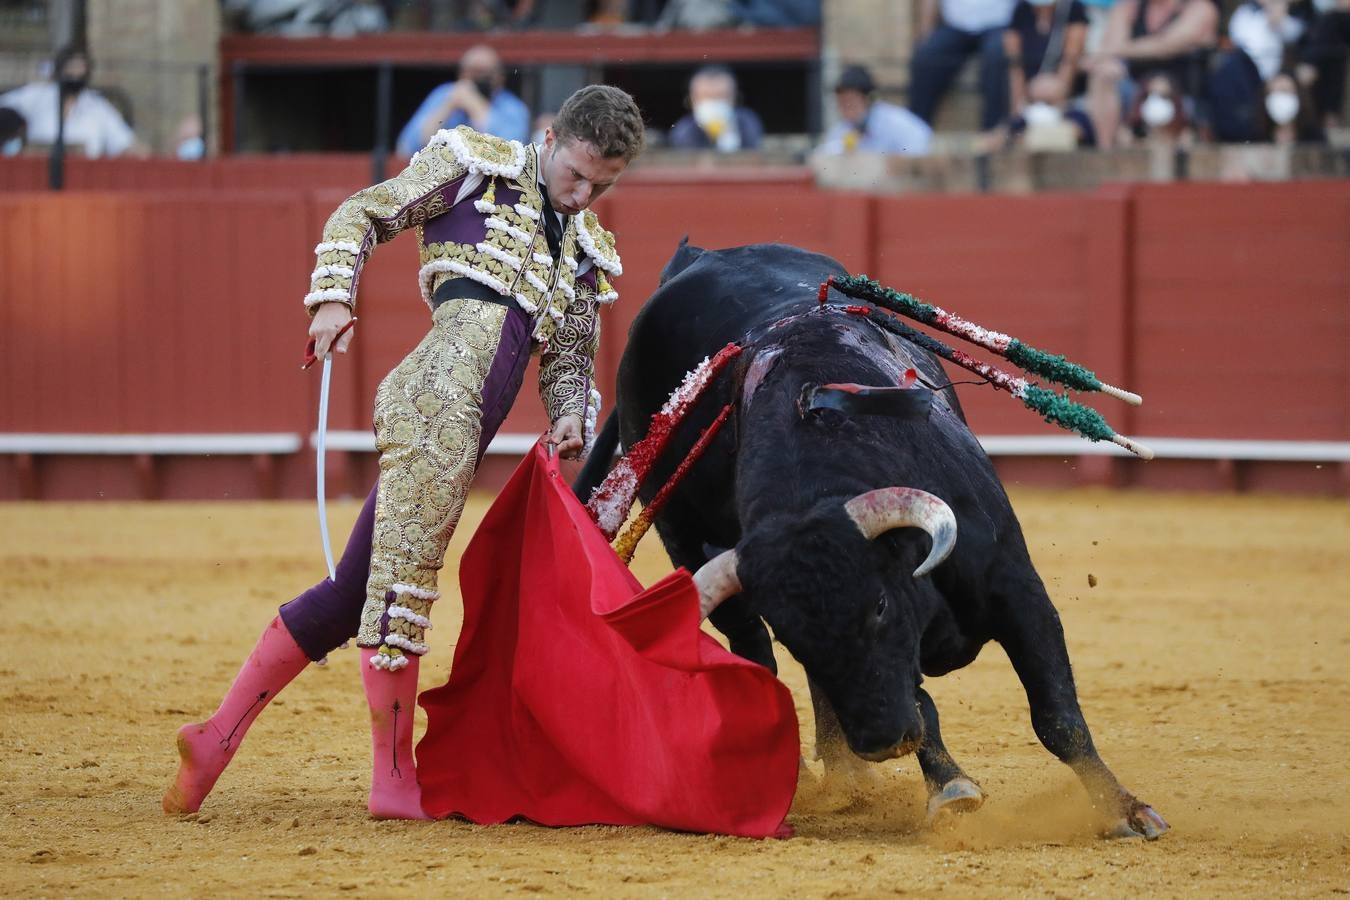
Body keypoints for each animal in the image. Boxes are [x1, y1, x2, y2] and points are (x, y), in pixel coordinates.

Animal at [580, 242, 1171, 841]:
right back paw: (821, 774)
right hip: (685, 539)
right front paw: (950, 789)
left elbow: (1056, 713)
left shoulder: (1015, 586)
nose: (881, 743)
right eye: (796, 635)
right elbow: (917, 702)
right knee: (755, 649)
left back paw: (847, 776)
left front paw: (1125, 811)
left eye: (880, 605)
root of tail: (695, 256)